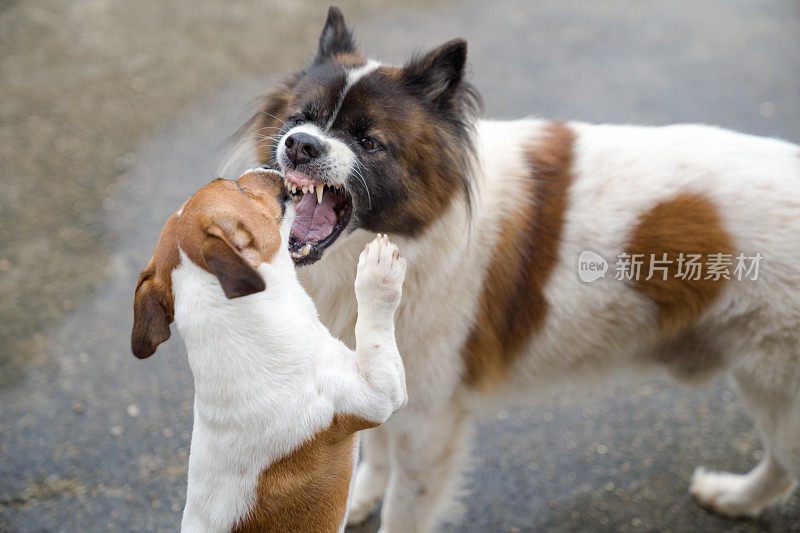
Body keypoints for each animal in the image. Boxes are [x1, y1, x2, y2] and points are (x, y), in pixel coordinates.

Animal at [241, 8, 796, 532]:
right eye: (300, 117)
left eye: (369, 141)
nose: (301, 144)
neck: (413, 236)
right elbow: (375, 454)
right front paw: (357, 502)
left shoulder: (429, 420)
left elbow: (404, 508)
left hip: (775, 386)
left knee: (784, 464)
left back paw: (734, 497)